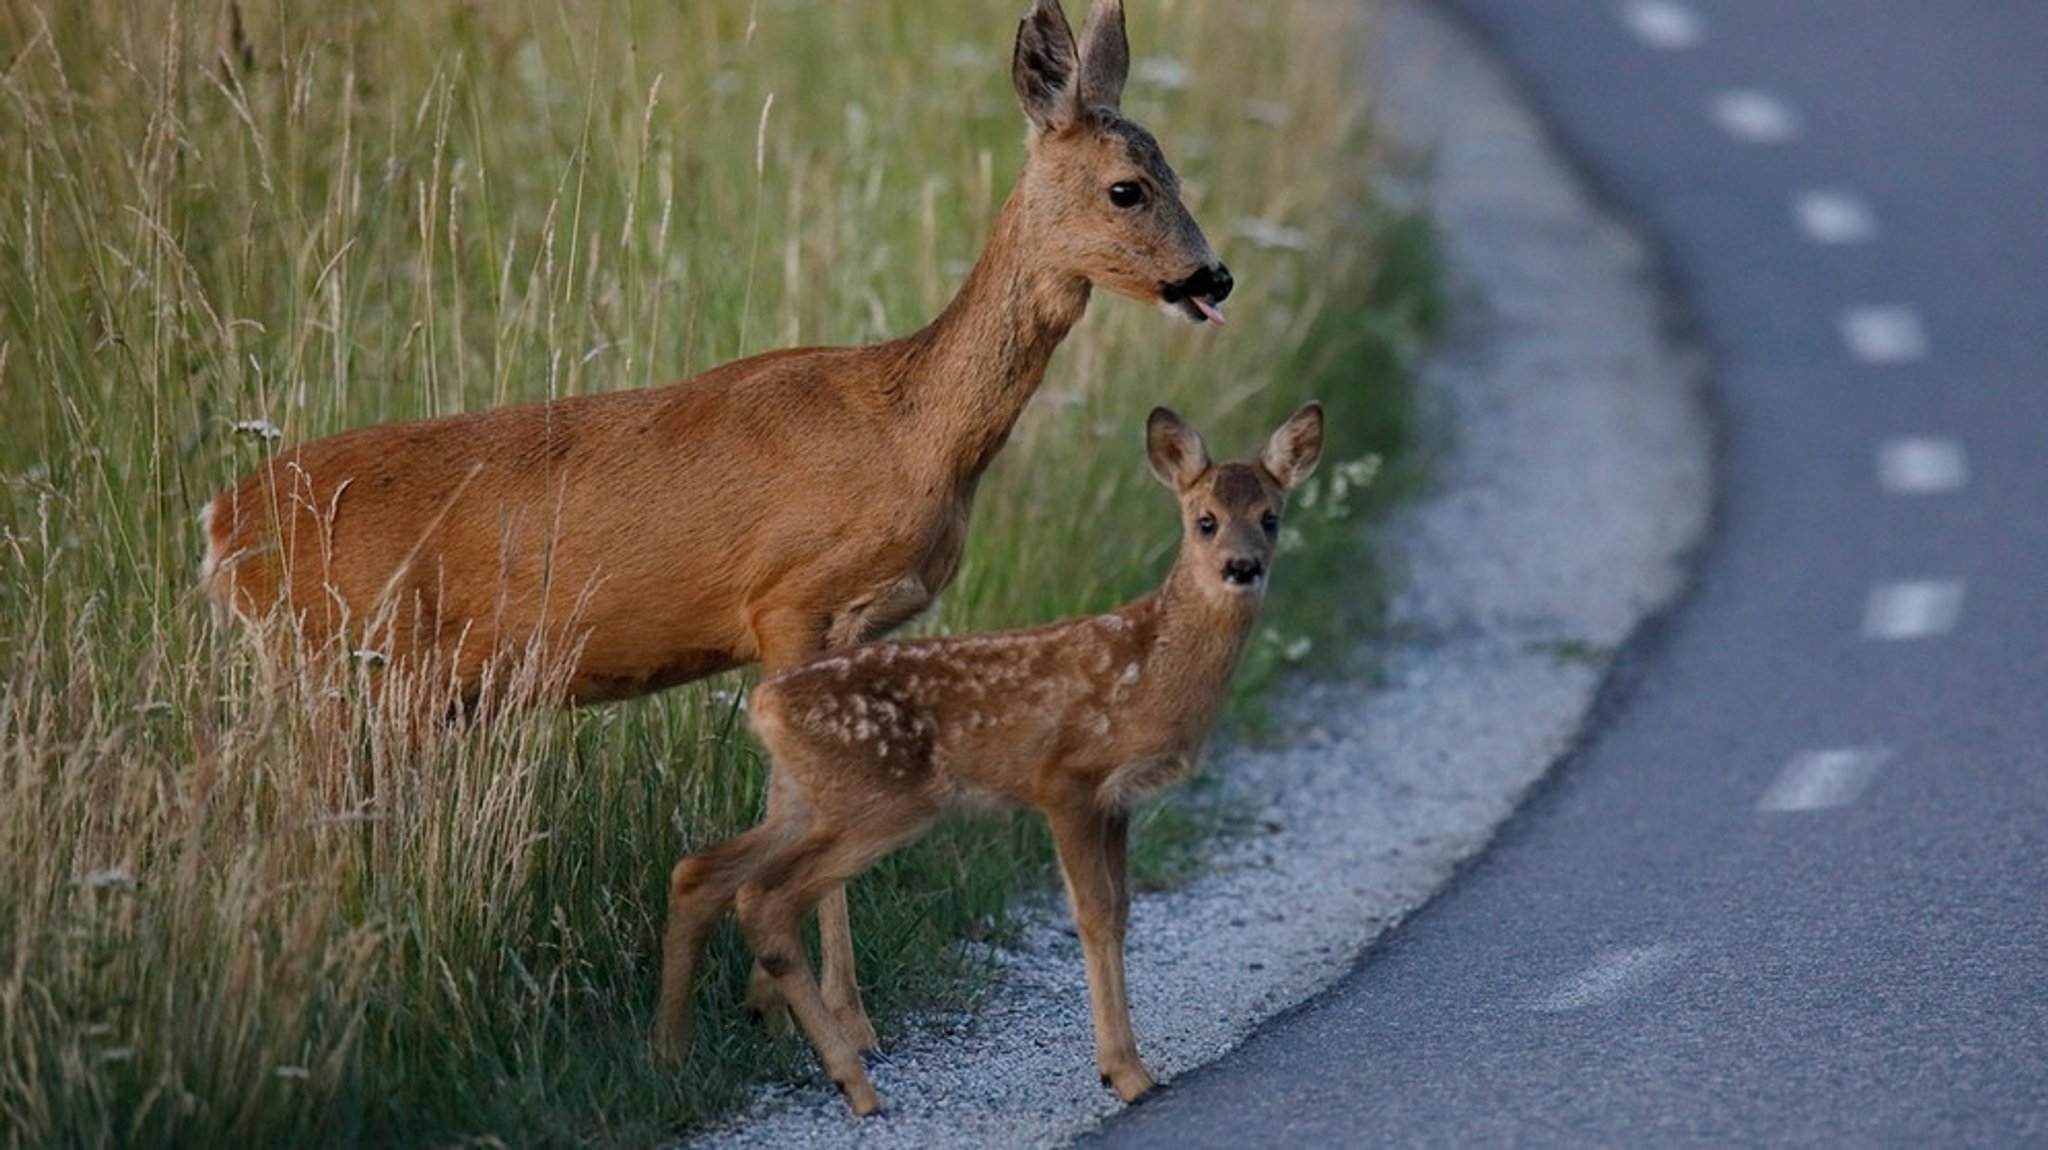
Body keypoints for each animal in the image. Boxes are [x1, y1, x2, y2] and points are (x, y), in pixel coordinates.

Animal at [199, 0, 1228, 1055]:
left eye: (1176, 173)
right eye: (1126, 188)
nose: (1214, 276)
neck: (912, 428)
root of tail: (221, 523)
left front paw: (770, 1005)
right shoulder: (792, 600)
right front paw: (844, 1023)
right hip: (340, 666)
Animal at [655, 401, 1327, 1113]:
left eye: (1270, 517)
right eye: (1206, 520)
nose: (1241, 566)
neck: (1149, 667)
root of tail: (765, 702)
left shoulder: (1117, 799)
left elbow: (1122, 912)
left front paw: (1126, 1063)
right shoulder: (1067, 778)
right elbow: (1092, 915)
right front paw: (1125, 1073)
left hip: (802, 797)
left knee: (703, 871)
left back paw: (671, 1053)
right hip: (879, 800)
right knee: (766, 898)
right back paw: (853, 1081)